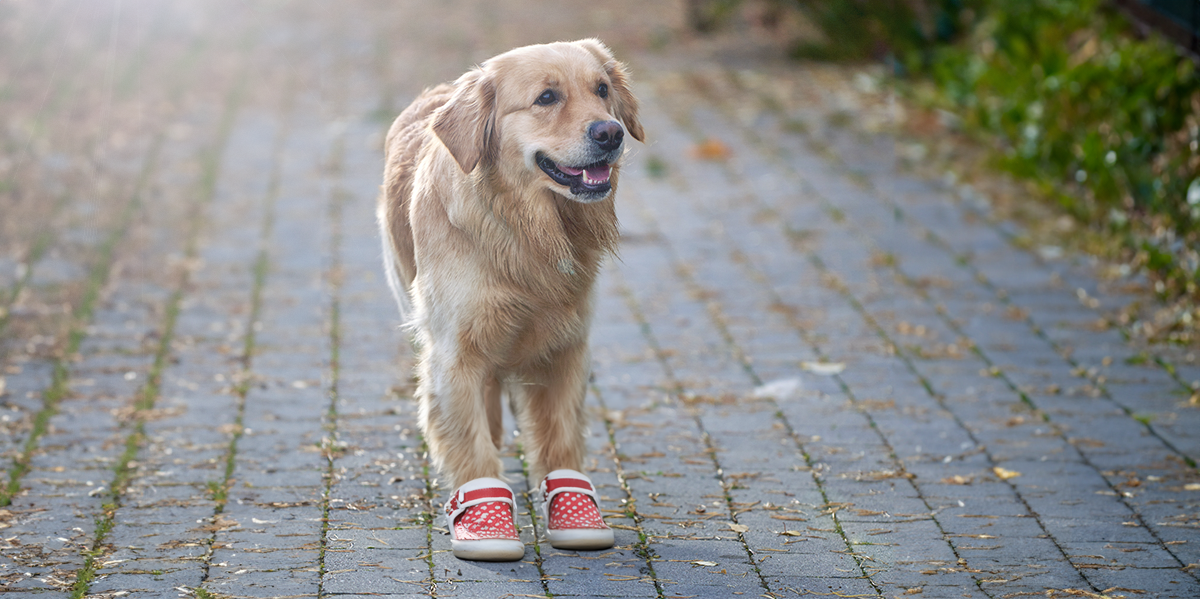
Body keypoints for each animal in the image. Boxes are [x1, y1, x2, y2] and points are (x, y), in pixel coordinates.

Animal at [376, 38, 643, 561]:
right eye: (546, 98)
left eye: (602, 89)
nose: (611, 132)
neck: (527, 230)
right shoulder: (455, 353)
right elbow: (469, 439)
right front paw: (486, 522)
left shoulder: (566, 346)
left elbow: (560, 437)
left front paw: (577, 517)